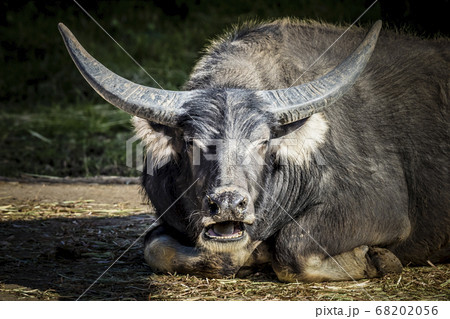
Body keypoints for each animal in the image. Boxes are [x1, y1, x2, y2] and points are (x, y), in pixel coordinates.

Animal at [59, 18, 450, 282]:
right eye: (192, 142)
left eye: (263, 142)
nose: (228, 204)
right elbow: (158, 249)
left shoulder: (383, 210)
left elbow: (294, 249)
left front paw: (379, 260)